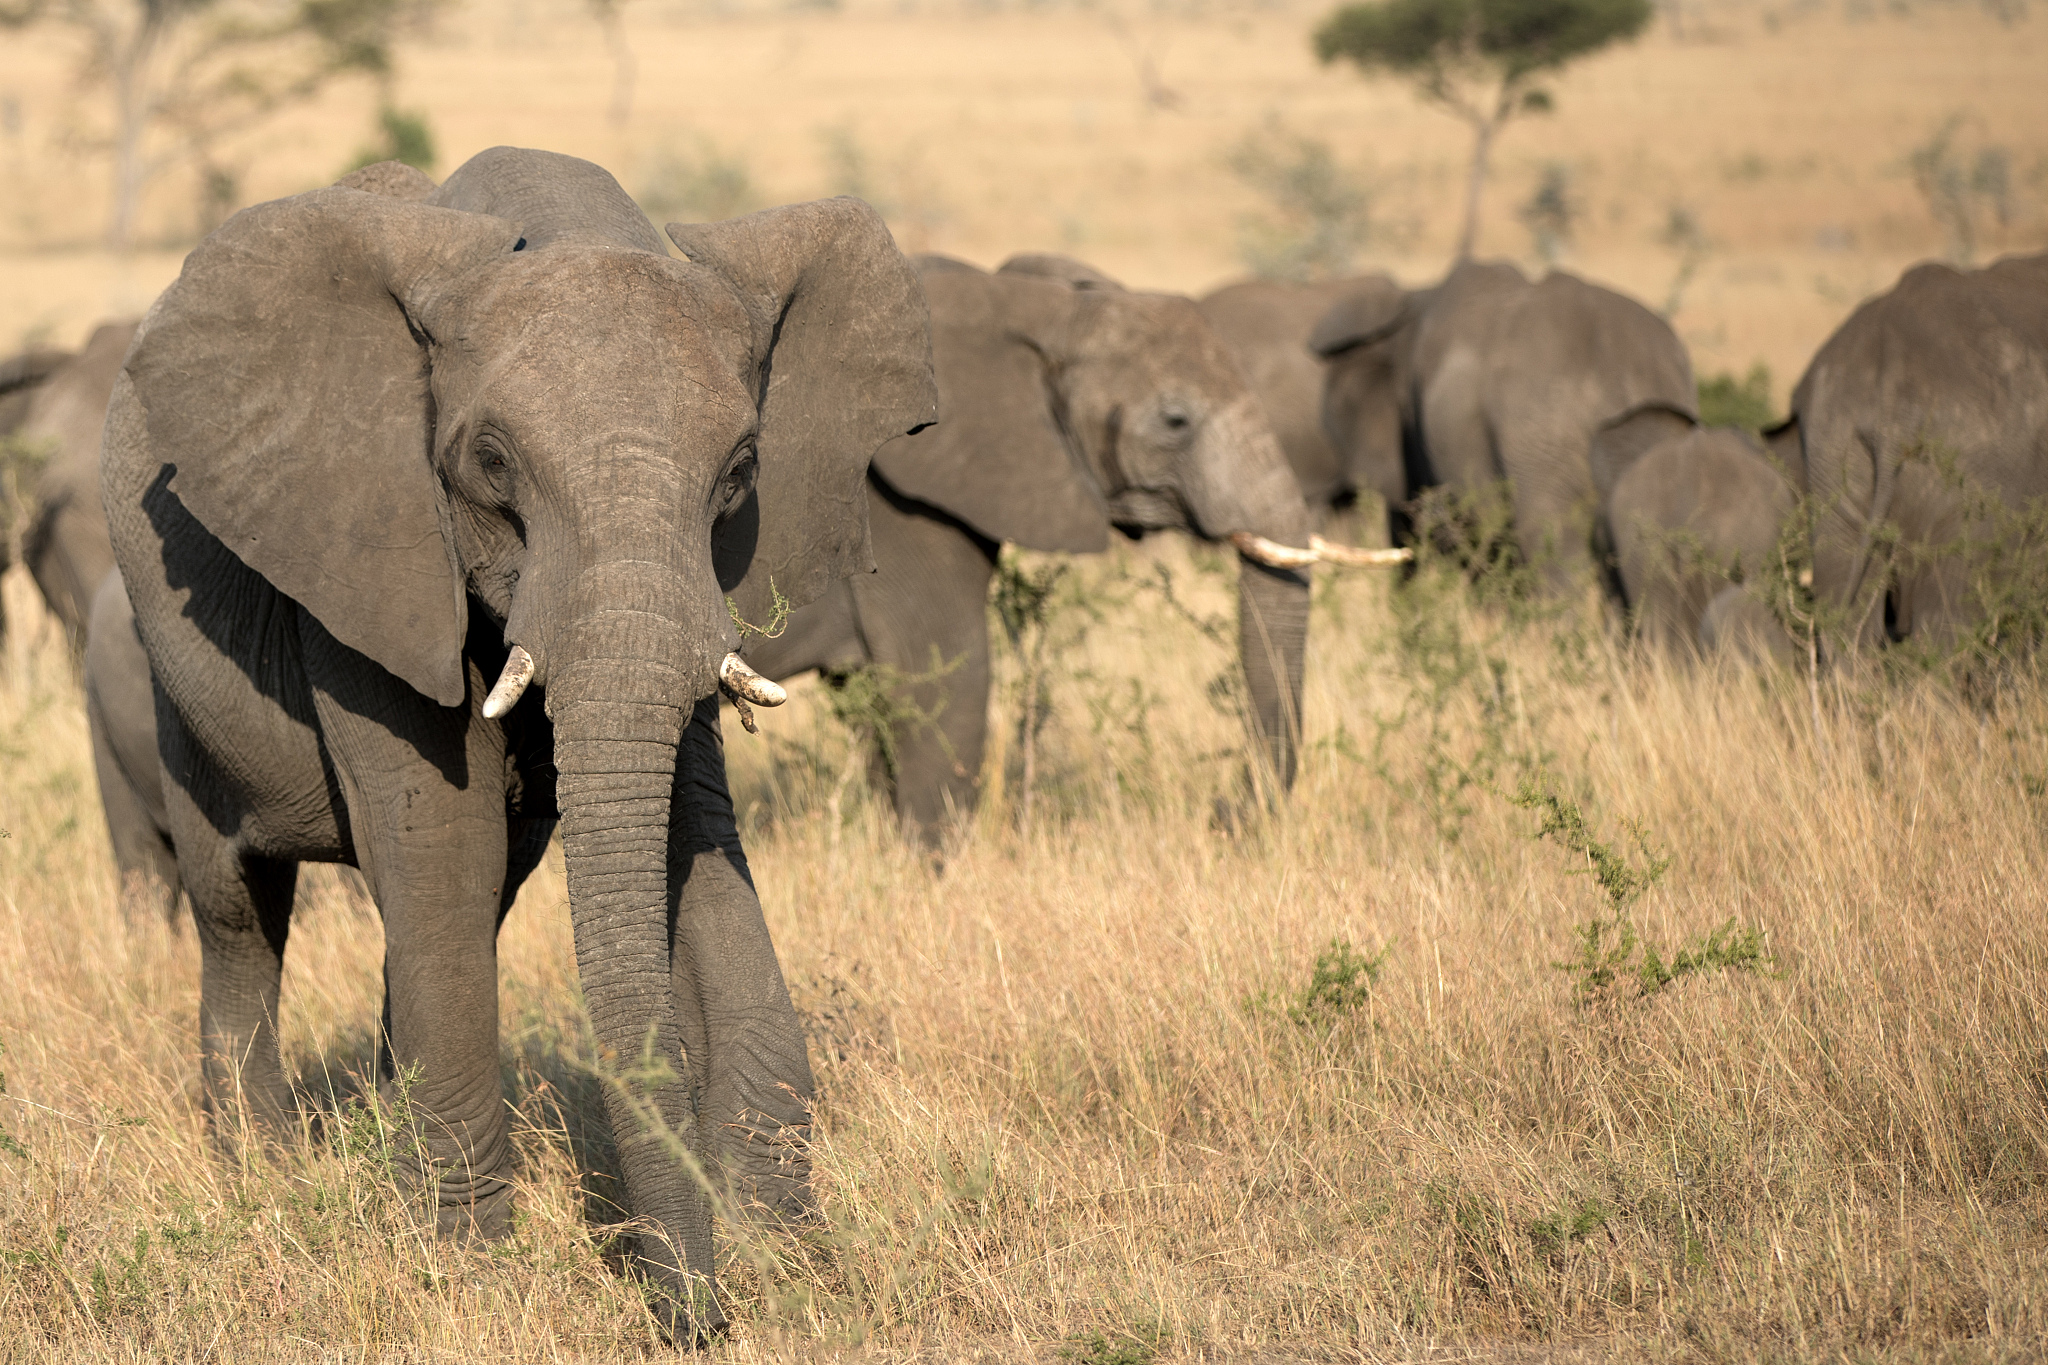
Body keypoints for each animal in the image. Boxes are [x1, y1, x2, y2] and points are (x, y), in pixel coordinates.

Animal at [101, 147, 937, 1337]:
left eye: (739, 469)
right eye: (491, 463)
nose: (695, 1319)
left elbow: (692, 842)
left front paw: (793, 1260)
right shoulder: (370, 540)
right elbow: (440, 847)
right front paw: (466, 1278)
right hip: (167, 673)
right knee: (240, 911)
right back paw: (266, 1180)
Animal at [743, 251, 1320, 843]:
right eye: (1175, 421)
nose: (1221, 811)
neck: (1038, 309)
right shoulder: (899, 512)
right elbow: (949, 684)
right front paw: (932, 862)